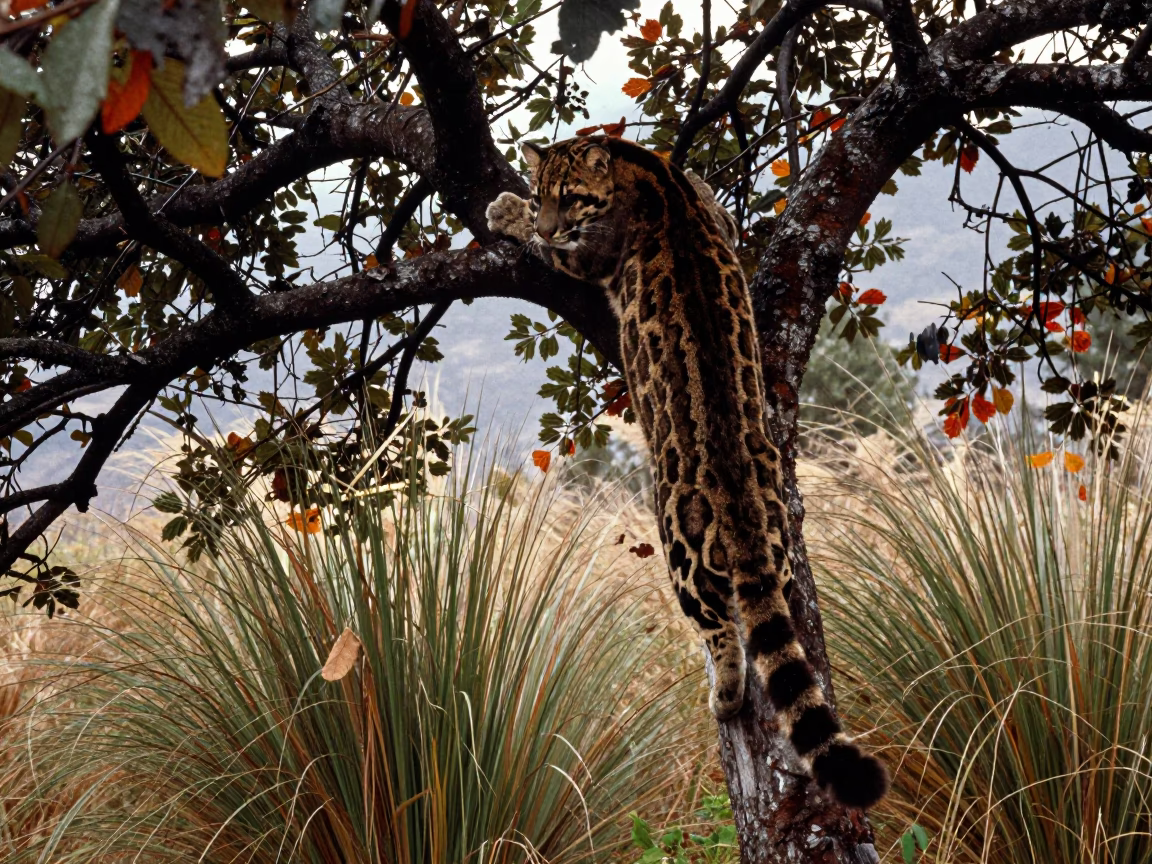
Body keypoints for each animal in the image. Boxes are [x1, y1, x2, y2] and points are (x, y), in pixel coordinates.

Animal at [486, 135, 888, 809]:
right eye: (546, 192)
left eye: (567, 198)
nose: (545, 218)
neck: (639, 165)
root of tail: (739, 497)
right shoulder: (713, 211)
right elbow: (723, 213)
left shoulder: (590, 253)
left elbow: (560, 253)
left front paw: (506, 213)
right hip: (780, 531)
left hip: (678, 542)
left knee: (721, 630)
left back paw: (724, 693)